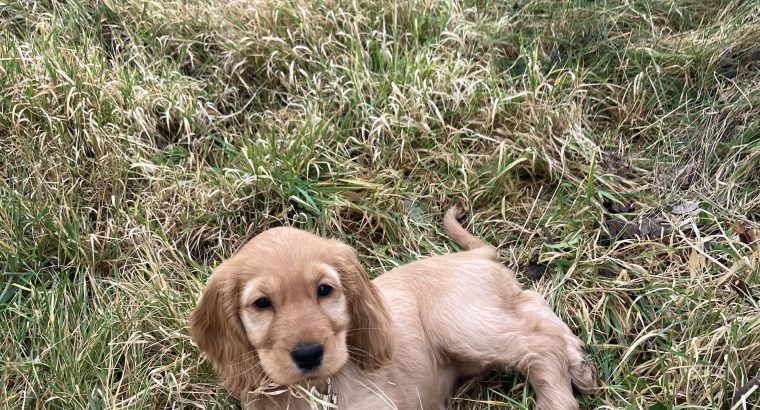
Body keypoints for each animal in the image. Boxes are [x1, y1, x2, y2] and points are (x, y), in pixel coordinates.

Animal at [190, 207, 600, 408]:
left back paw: (557, 398)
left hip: (460, 325)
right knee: (534, 309)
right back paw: (578, 361)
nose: (308, 354)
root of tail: (472, 256)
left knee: (539, 344)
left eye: (325, 290)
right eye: (262, 304)